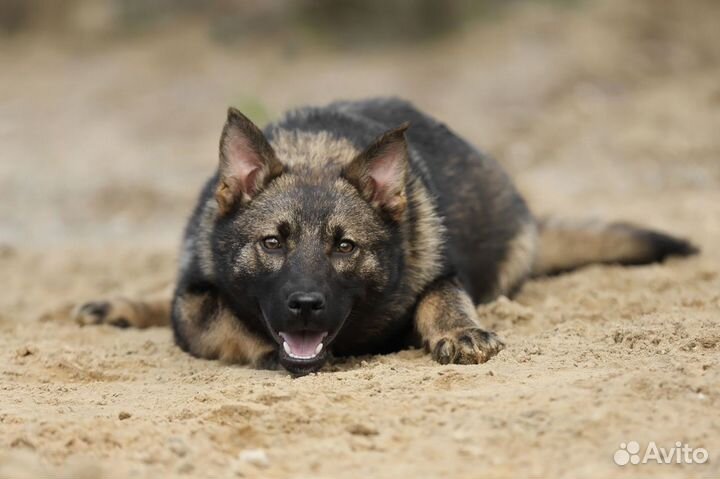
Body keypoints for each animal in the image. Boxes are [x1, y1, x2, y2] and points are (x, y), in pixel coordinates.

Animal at [74, 97, 696, 376]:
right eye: (272, 243)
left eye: (345, 246)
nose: (305, 305)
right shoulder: (194, 298)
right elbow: (218, 321)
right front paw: (266, 349)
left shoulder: (443, 273)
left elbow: (443, 299)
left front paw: (460, 332)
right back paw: (117, 305)